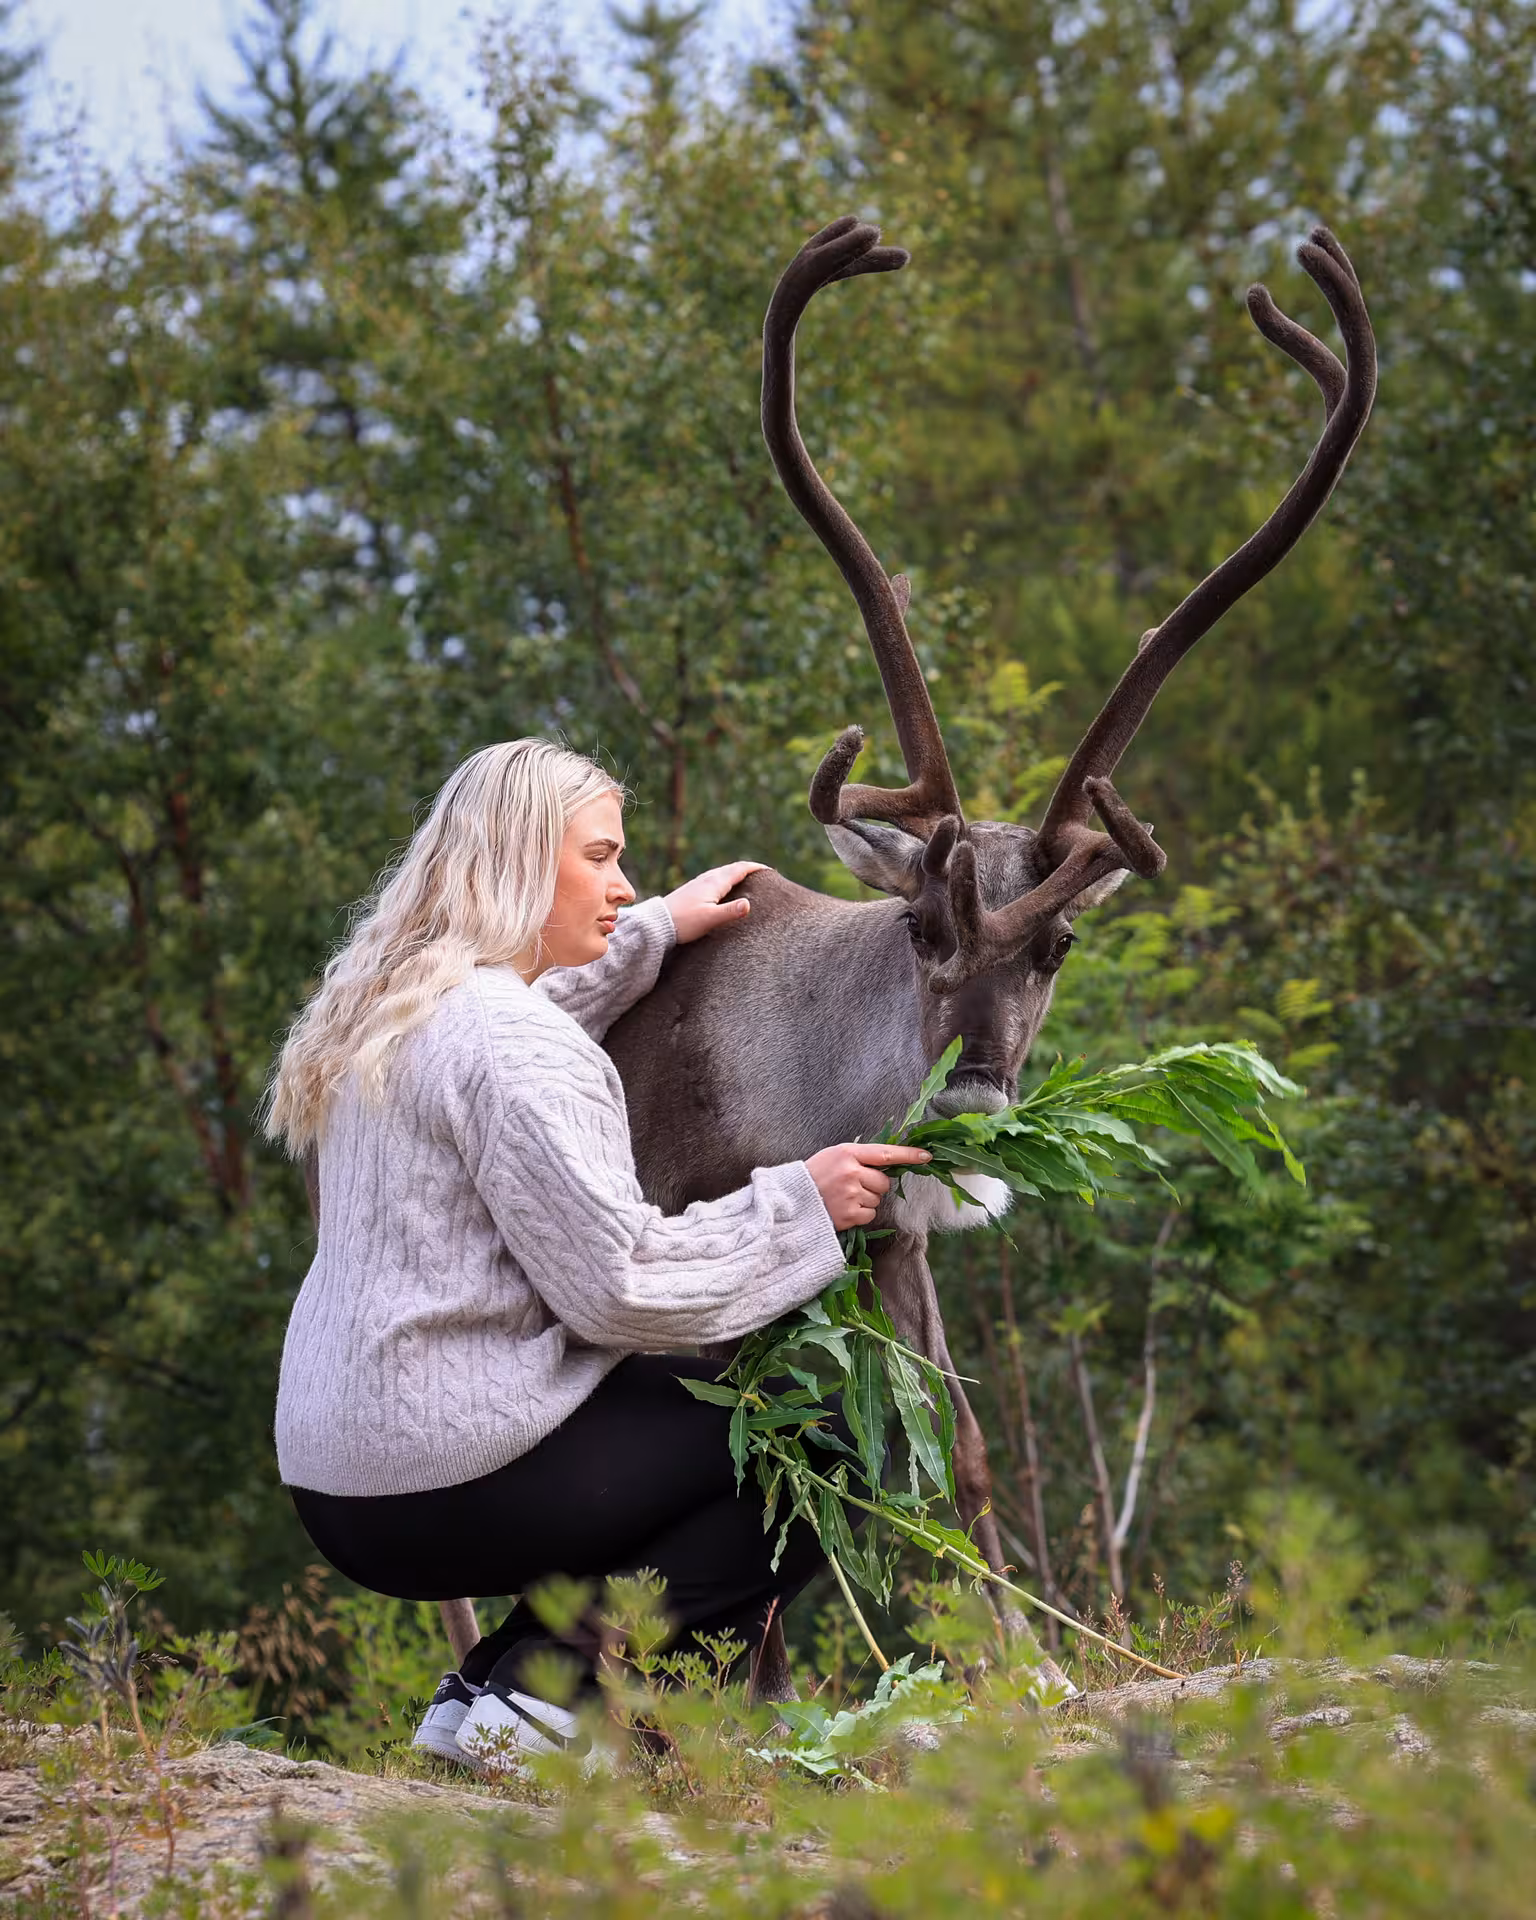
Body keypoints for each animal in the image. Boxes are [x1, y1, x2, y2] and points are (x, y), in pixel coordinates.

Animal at [380, 214, 1376, 1698]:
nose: (965, 1097)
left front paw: (1029, 1665)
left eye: (1061, 942)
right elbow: (761, 1477)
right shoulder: (697, 1241)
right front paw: (752, 1703)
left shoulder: (892, 1240)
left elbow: (954, 1452)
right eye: (922, 926)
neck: (807, 1080)